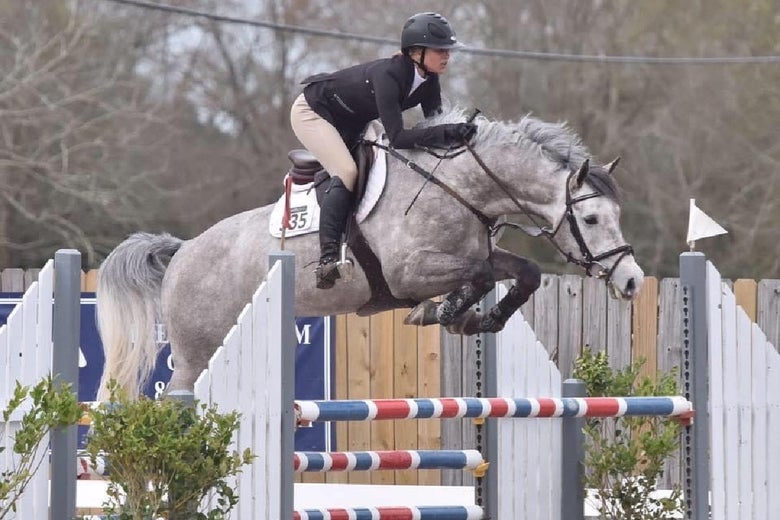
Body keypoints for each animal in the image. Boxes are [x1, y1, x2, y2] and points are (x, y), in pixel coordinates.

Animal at [95, 107, 644, 399]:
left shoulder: (476, 254)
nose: (632, 280)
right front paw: (443, 311)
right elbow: (481, 276)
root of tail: (183, 251)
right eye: (592, 220)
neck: (458, 187)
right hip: (194, 351)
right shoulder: (408, 273)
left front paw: (471, 317)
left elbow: (520, 272)